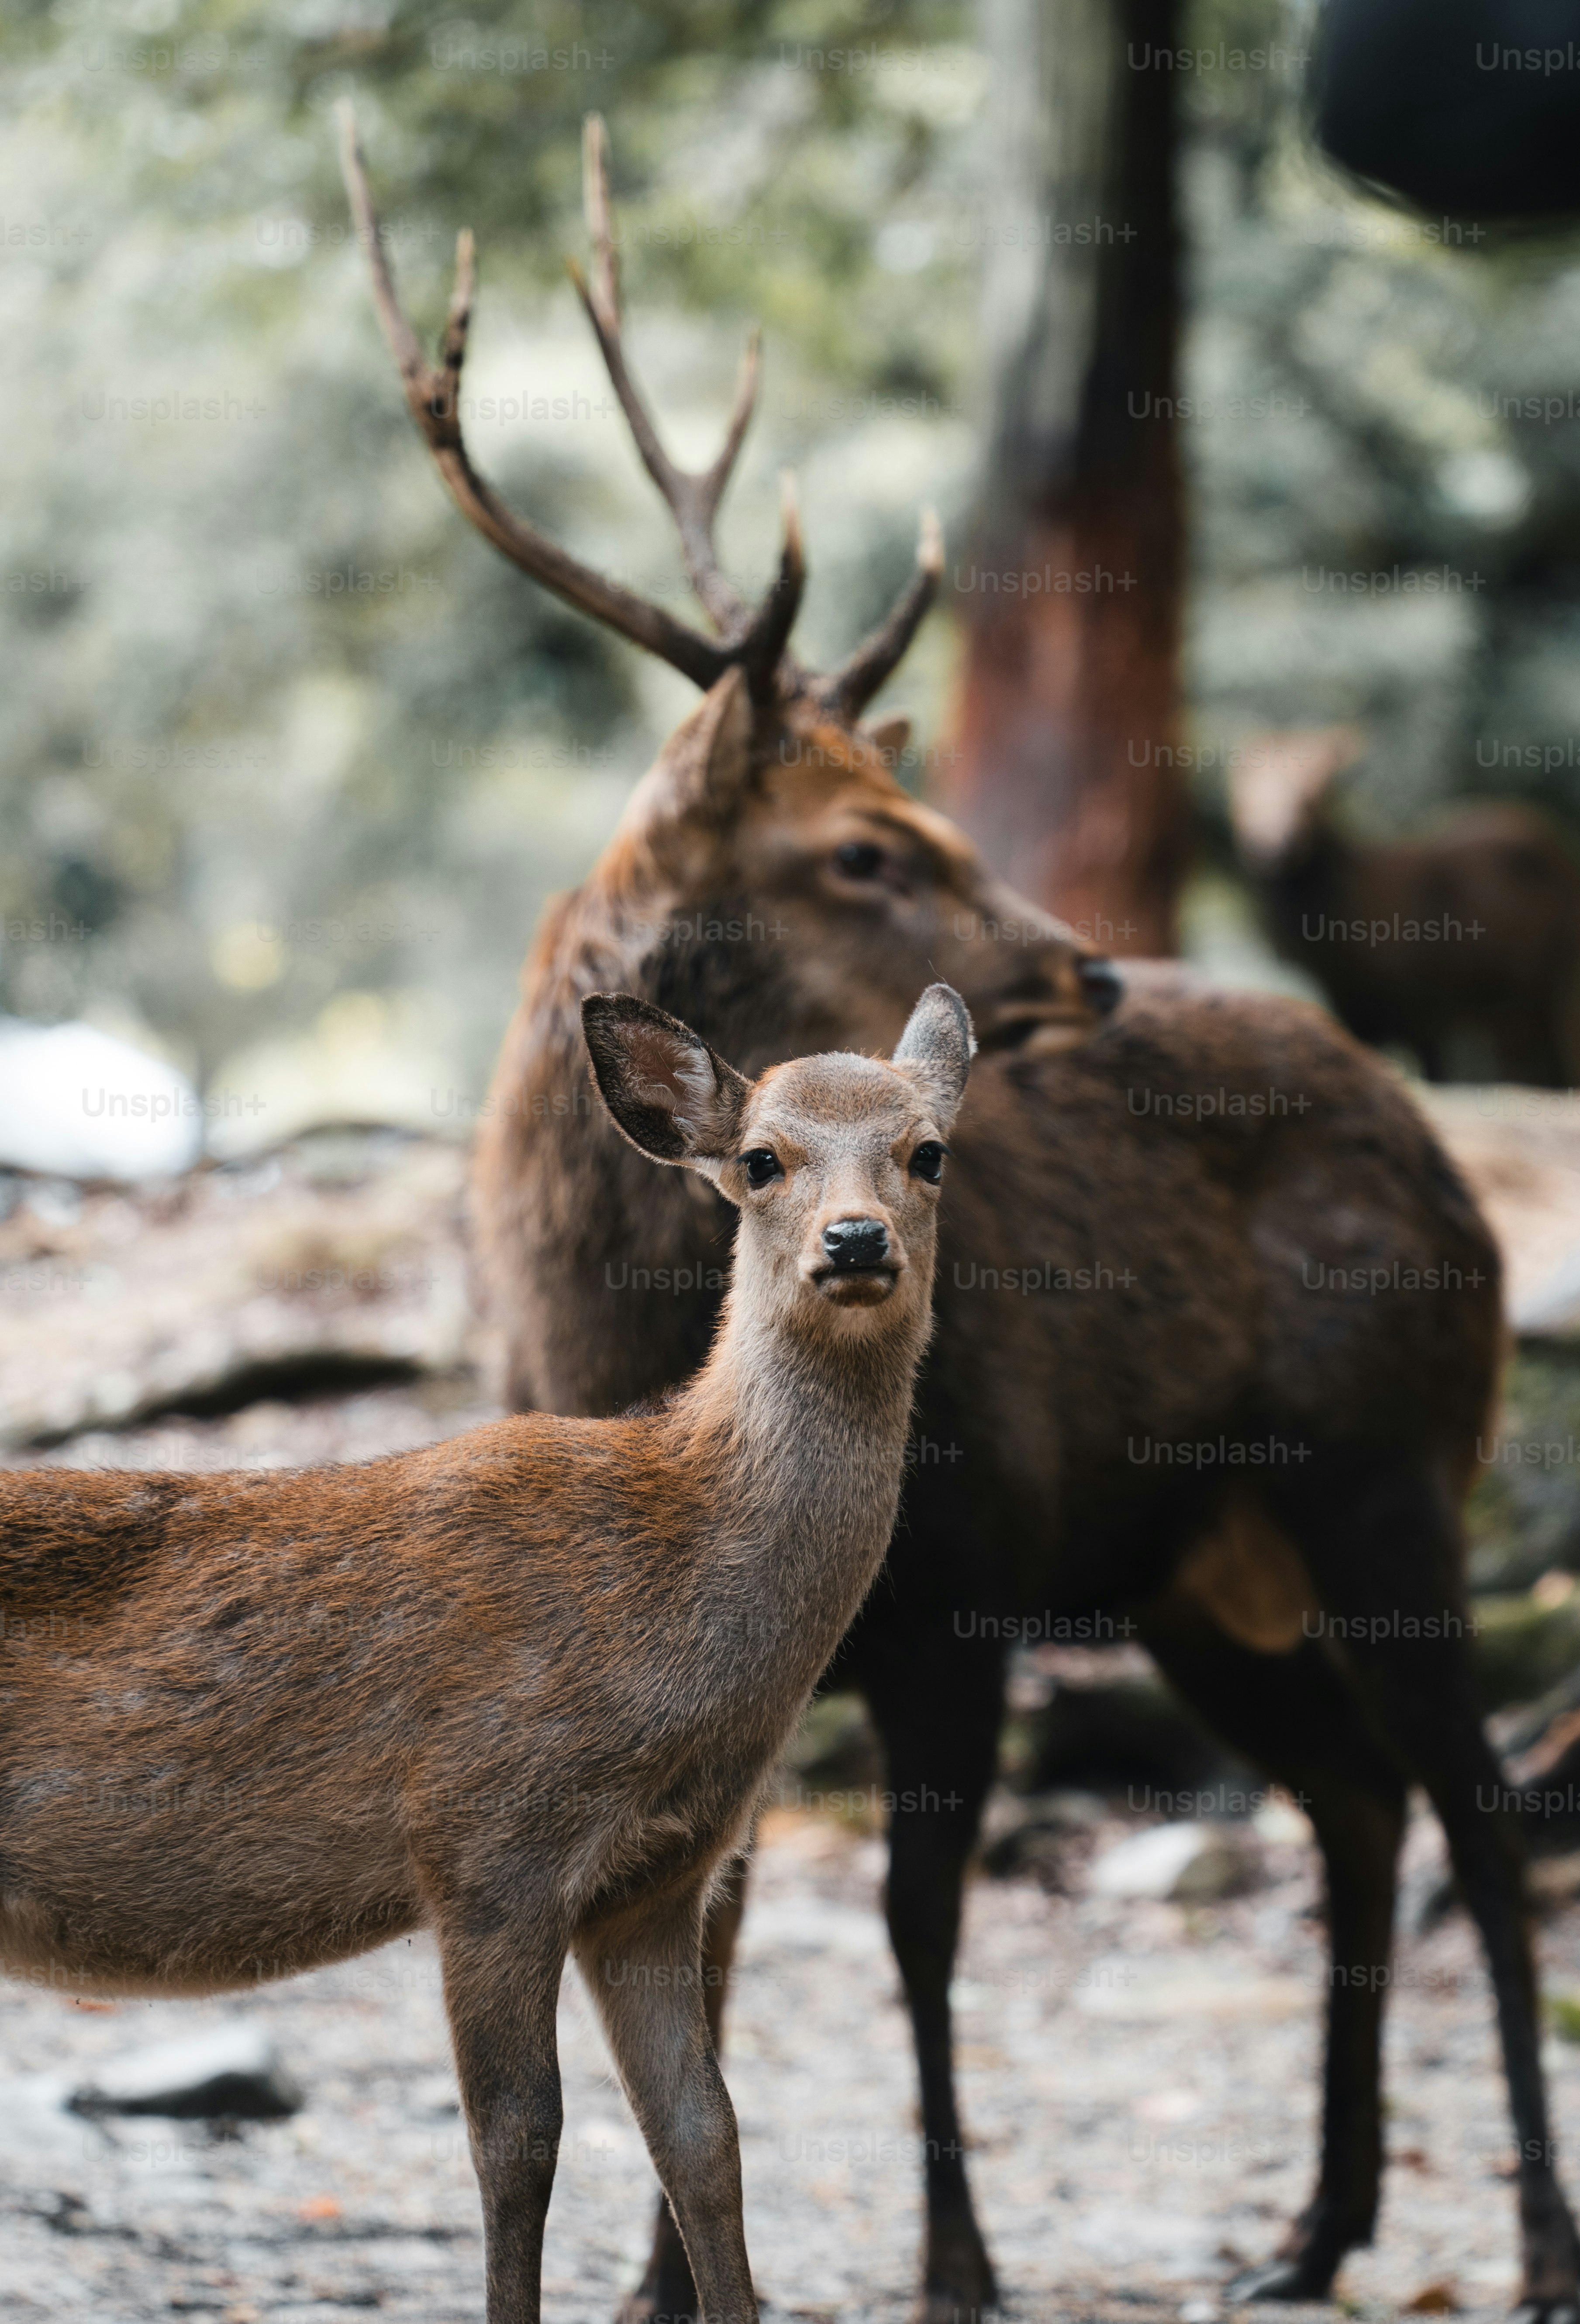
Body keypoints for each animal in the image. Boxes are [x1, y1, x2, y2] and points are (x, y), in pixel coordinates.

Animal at [0, 983, 973, 2324]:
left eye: (926, 1153)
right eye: (760, 1159)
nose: (856, 1239)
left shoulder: (657, 1883)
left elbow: (703, 2138)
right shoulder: (485, 1838)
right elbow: (518, 2141)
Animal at [1229, 726, 1580, 1087]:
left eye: (1315, 796)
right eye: (1239, 794)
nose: (1271, 846)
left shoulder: (1421, 1008)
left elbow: (1436, 1075)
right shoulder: (1356, 1011)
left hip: (1534, 986)